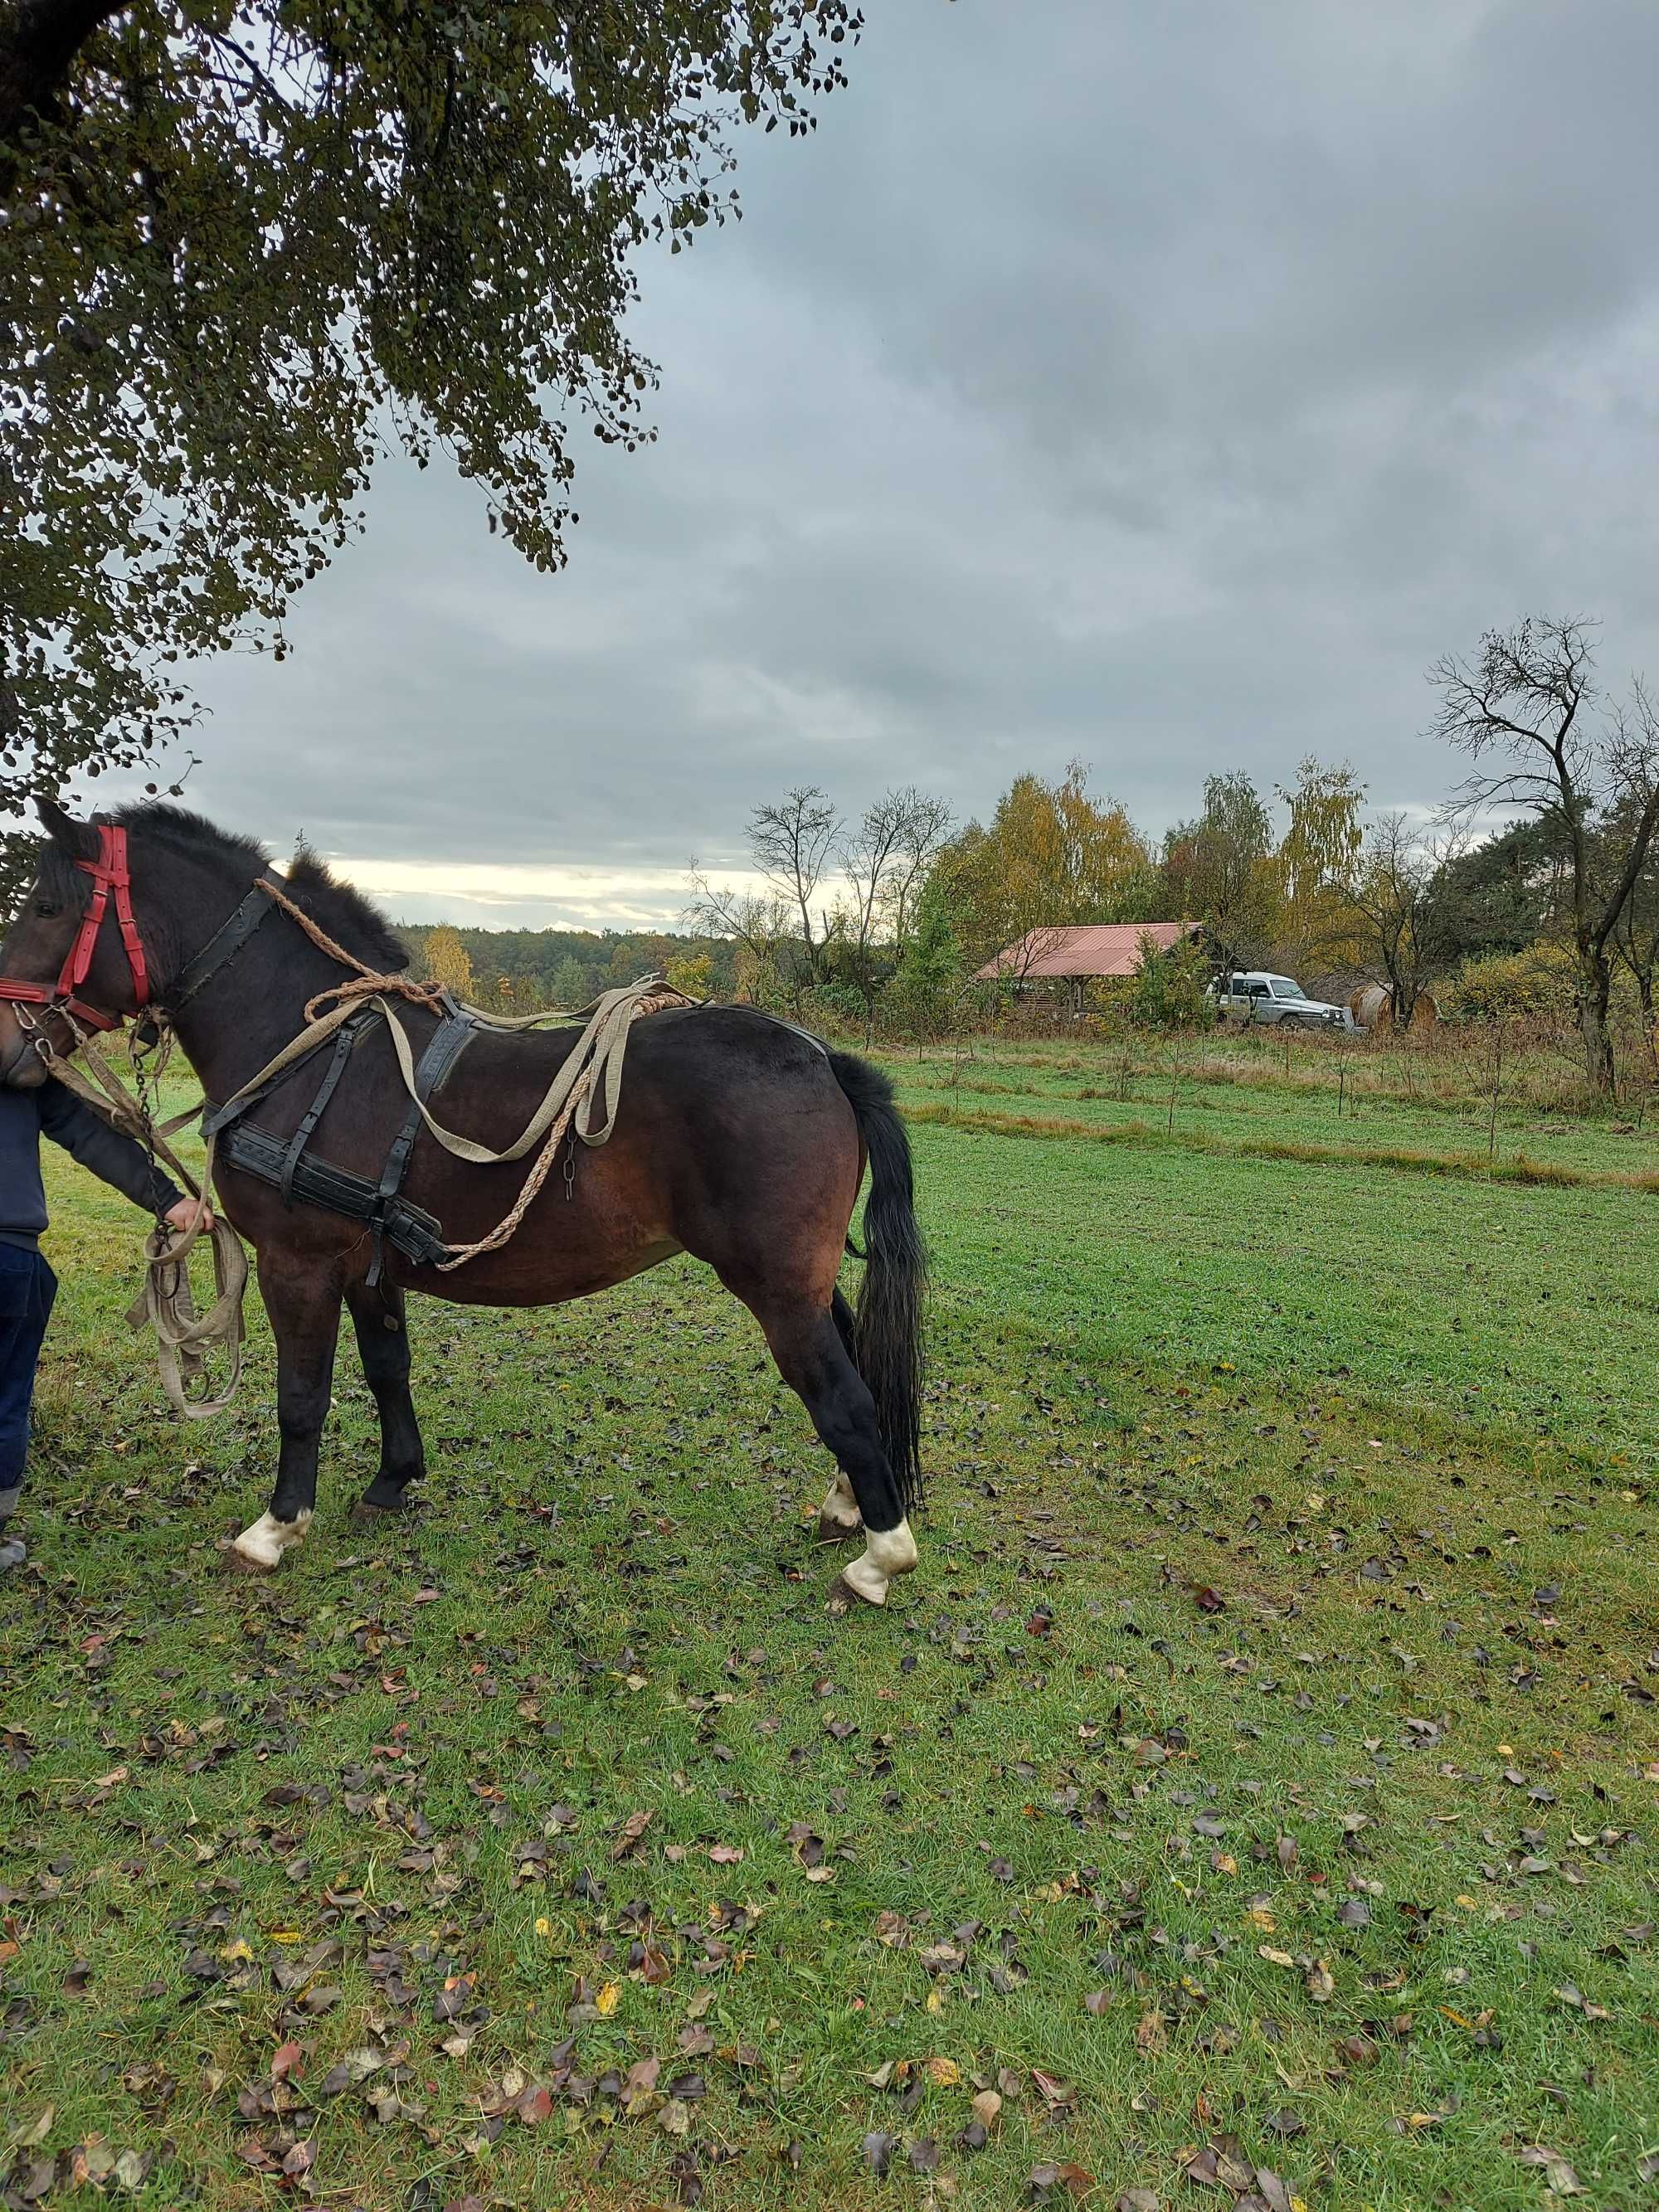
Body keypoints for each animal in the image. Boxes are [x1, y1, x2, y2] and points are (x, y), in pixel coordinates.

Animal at [0, 805, 937, 1619]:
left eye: (46, 905)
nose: (9, 1042)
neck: (310, 1053)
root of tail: (822, 1062)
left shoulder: (294, 1264)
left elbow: (301, 1394)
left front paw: (277, 1525)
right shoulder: (366, 1264)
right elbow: (388, 1367)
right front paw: (394, 1479)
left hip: (775, 1289)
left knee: (844, 1399)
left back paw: (881, 1557)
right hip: (804, 1283)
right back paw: (850, 1506)